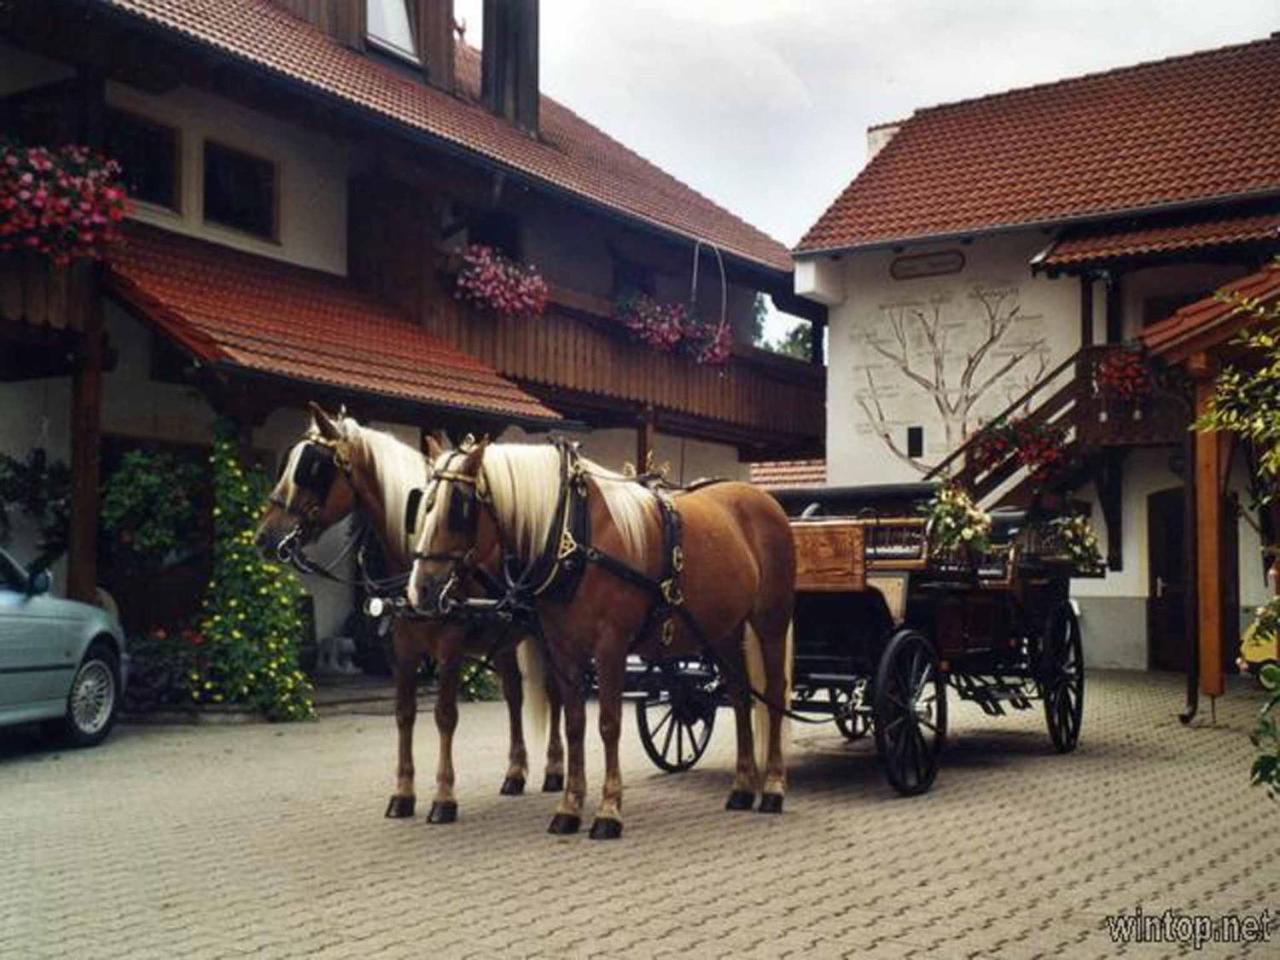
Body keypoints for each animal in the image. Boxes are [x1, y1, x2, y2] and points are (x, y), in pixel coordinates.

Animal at [254, 407, 565, 829]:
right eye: (288, 461)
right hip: (502, 638)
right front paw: (403, 793)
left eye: (312, 468)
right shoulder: (401, 648)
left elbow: (445, 716)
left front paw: (444, 797)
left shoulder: (449, 649)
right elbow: (404, 715)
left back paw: (554, 769)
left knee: (554, 693)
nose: (266, 537)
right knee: (515, 695)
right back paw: (515, 773)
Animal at [409, 440, 793, 839]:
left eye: (459, 507)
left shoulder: (611, 646)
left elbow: (609, 723)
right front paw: (569, 807)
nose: (421, 589)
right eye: (424, 505)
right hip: (725, 631)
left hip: (770, 622)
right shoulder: (564, 649)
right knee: (741, 694)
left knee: (774, 693)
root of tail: (765, 501)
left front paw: (608, 811)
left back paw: (772, 788)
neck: (575, 532)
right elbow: (575, 723)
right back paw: (742, 787)